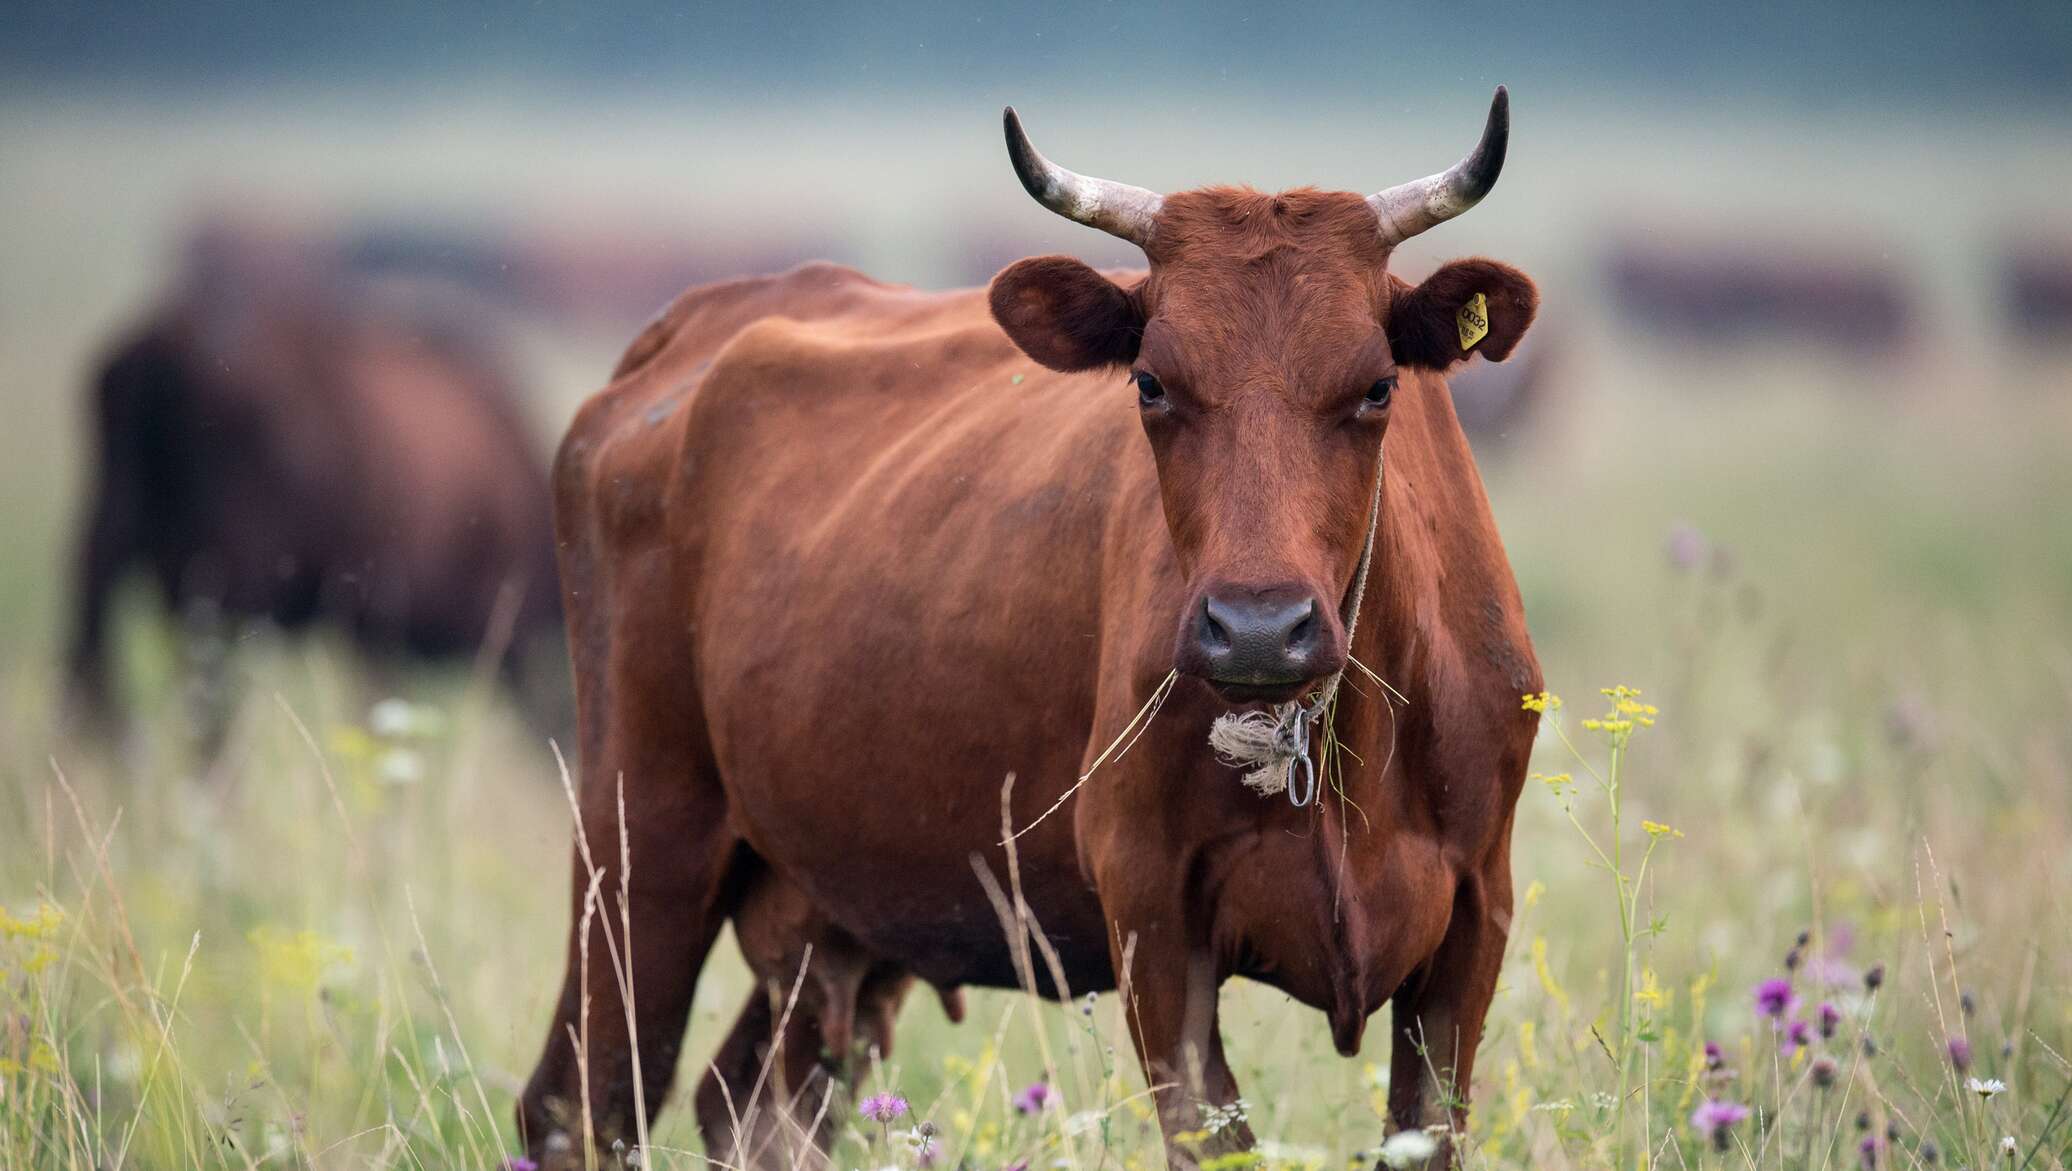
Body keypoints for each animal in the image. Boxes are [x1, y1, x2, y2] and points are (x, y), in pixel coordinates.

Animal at [519, 89, 1541, 1171]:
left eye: (1378, 385)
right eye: (1149, 383)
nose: (1260, 628)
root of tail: (695, 325)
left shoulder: (1475, 914)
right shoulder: (1152, 917)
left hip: (824, 905)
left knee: (749, 1103)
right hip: (640, 834)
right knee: (584, 1101)